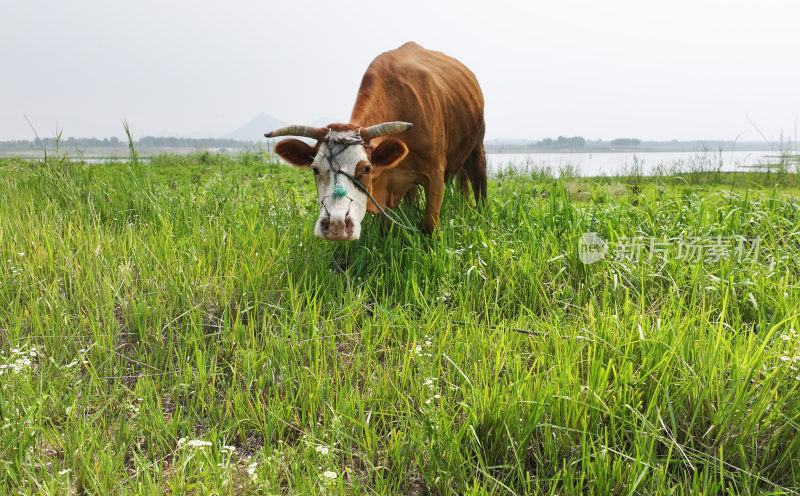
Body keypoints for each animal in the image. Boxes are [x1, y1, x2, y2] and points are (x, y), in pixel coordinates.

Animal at [266, 41, 484, 241]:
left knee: (477, 183)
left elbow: (429, 225)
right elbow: (387, 227)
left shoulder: (435, 173)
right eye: (314, 169)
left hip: (477, 146)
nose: (336, 224)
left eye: (366, 169)